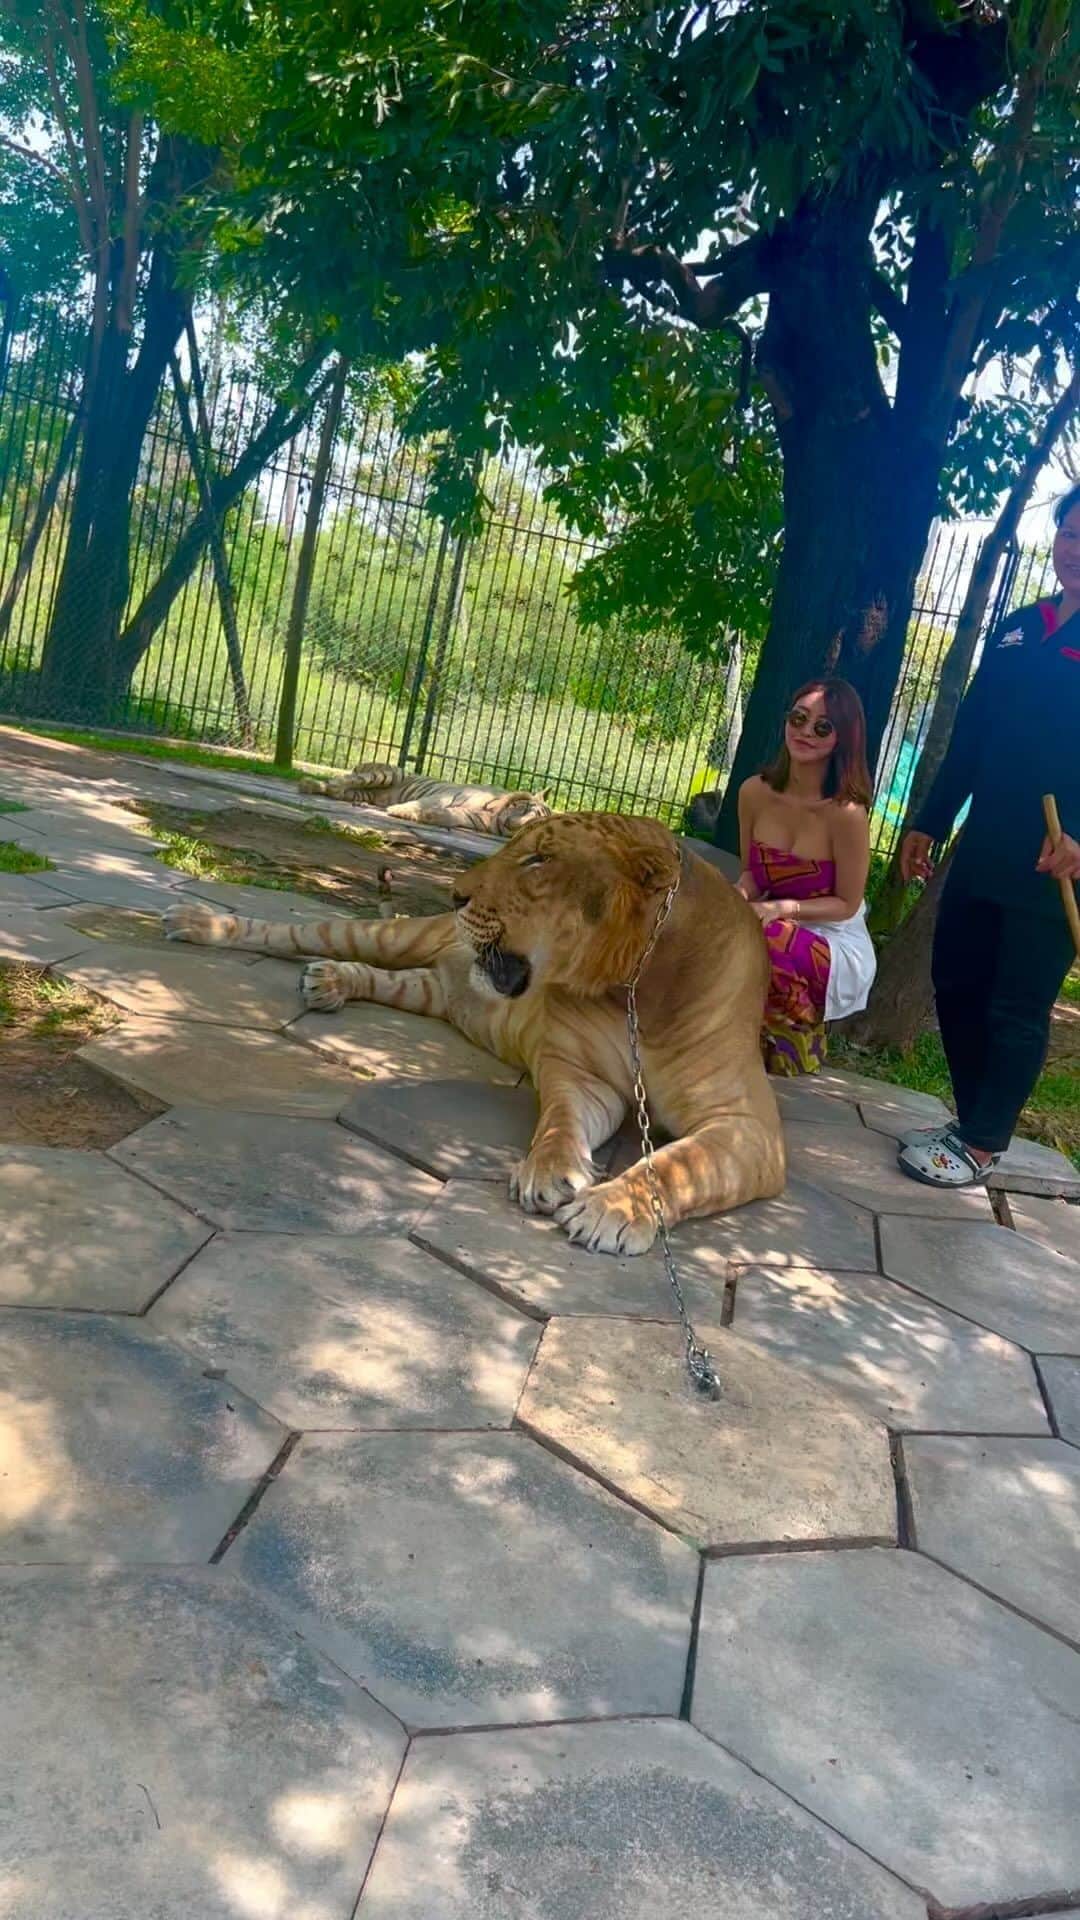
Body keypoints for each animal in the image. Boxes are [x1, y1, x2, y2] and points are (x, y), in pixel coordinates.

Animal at [162, 811, 784, 1256]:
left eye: (539, 859)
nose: (456, 895)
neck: (637, 988)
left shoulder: (748, 1127)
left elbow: (676, 1164)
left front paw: (612, 1208)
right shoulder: (582, 1075)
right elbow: (558, 1122)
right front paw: (550, 1172)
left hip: (425, 987)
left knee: (382, 978)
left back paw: (332, 982)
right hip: (386, 935)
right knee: (295, 931)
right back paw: (197, 923)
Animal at [298, 763, 551, 837]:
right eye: (527, 810)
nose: (519, 825)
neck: (495, 817)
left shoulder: (468, 817)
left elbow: (448, 816)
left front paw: (423, 816)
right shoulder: (448, 795)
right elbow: (428, 803)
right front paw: (400, 810)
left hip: (364, 792)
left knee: (339, 791)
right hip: (387, 774)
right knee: (341, 780)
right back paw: (308, 784)